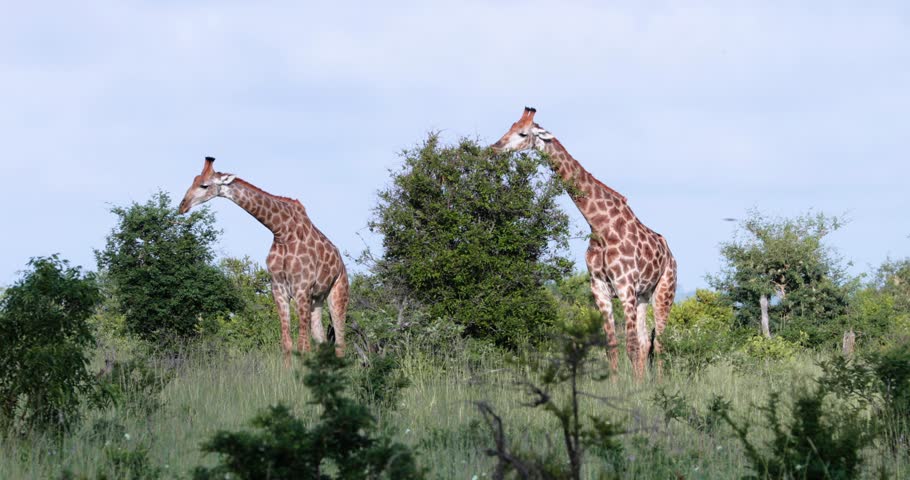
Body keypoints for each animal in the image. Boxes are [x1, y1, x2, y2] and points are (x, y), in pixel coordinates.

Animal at [178, 156, 348, 363]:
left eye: (204, 185)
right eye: (193, 180)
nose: (182, 206)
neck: (282, 232)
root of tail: (341, 264)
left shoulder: (301, 289)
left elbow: (303, 346)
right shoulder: (279, 289)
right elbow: (287, 343)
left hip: (338, 293)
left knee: (340, 343)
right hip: (317, 299)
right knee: (322, 340)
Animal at [492, 108, 677, 378]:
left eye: (523, 133)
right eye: (510, 127)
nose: (495, 148)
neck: (600, 227)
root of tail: (671, 255)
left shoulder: (624, 287)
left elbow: (630, 346)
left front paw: (633, 387)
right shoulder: (599, 288)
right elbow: (612, 346)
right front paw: (617, 385)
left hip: (664, 291)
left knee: (660, 342)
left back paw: (659, 383)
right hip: (643, 295)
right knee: (646, 342)